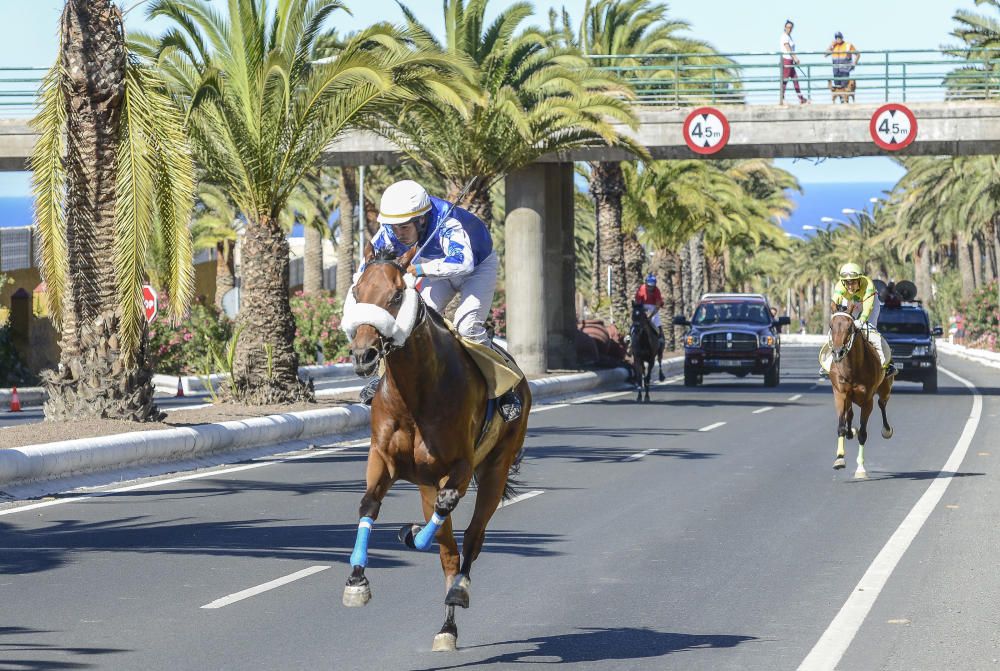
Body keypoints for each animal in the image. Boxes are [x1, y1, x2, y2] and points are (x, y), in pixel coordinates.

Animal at [340, 244, 532, 652]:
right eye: (357, 292)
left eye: (397, 295)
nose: (363, 356)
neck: (416, 394)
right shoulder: (384, 458)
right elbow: (368, 503)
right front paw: (357, 581)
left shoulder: (459, 465)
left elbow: (450, 512)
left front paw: (412, 535)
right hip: (427, 483)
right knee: (448, 550)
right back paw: (447, 627)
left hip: (496, 466)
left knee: (471, 537)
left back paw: (457, 588)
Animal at [828, 314, 892, 478]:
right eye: (831, 326)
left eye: (850, 328)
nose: (837, 352)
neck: (852, 369)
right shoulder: (840, 394)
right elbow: (841, 427)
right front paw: (839, 459)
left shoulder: (867, 400)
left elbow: (863, 433)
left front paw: (861, 469)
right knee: (850, 413)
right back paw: (851, 431)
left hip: (885, 388)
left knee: (882, 403)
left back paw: (887, 430)